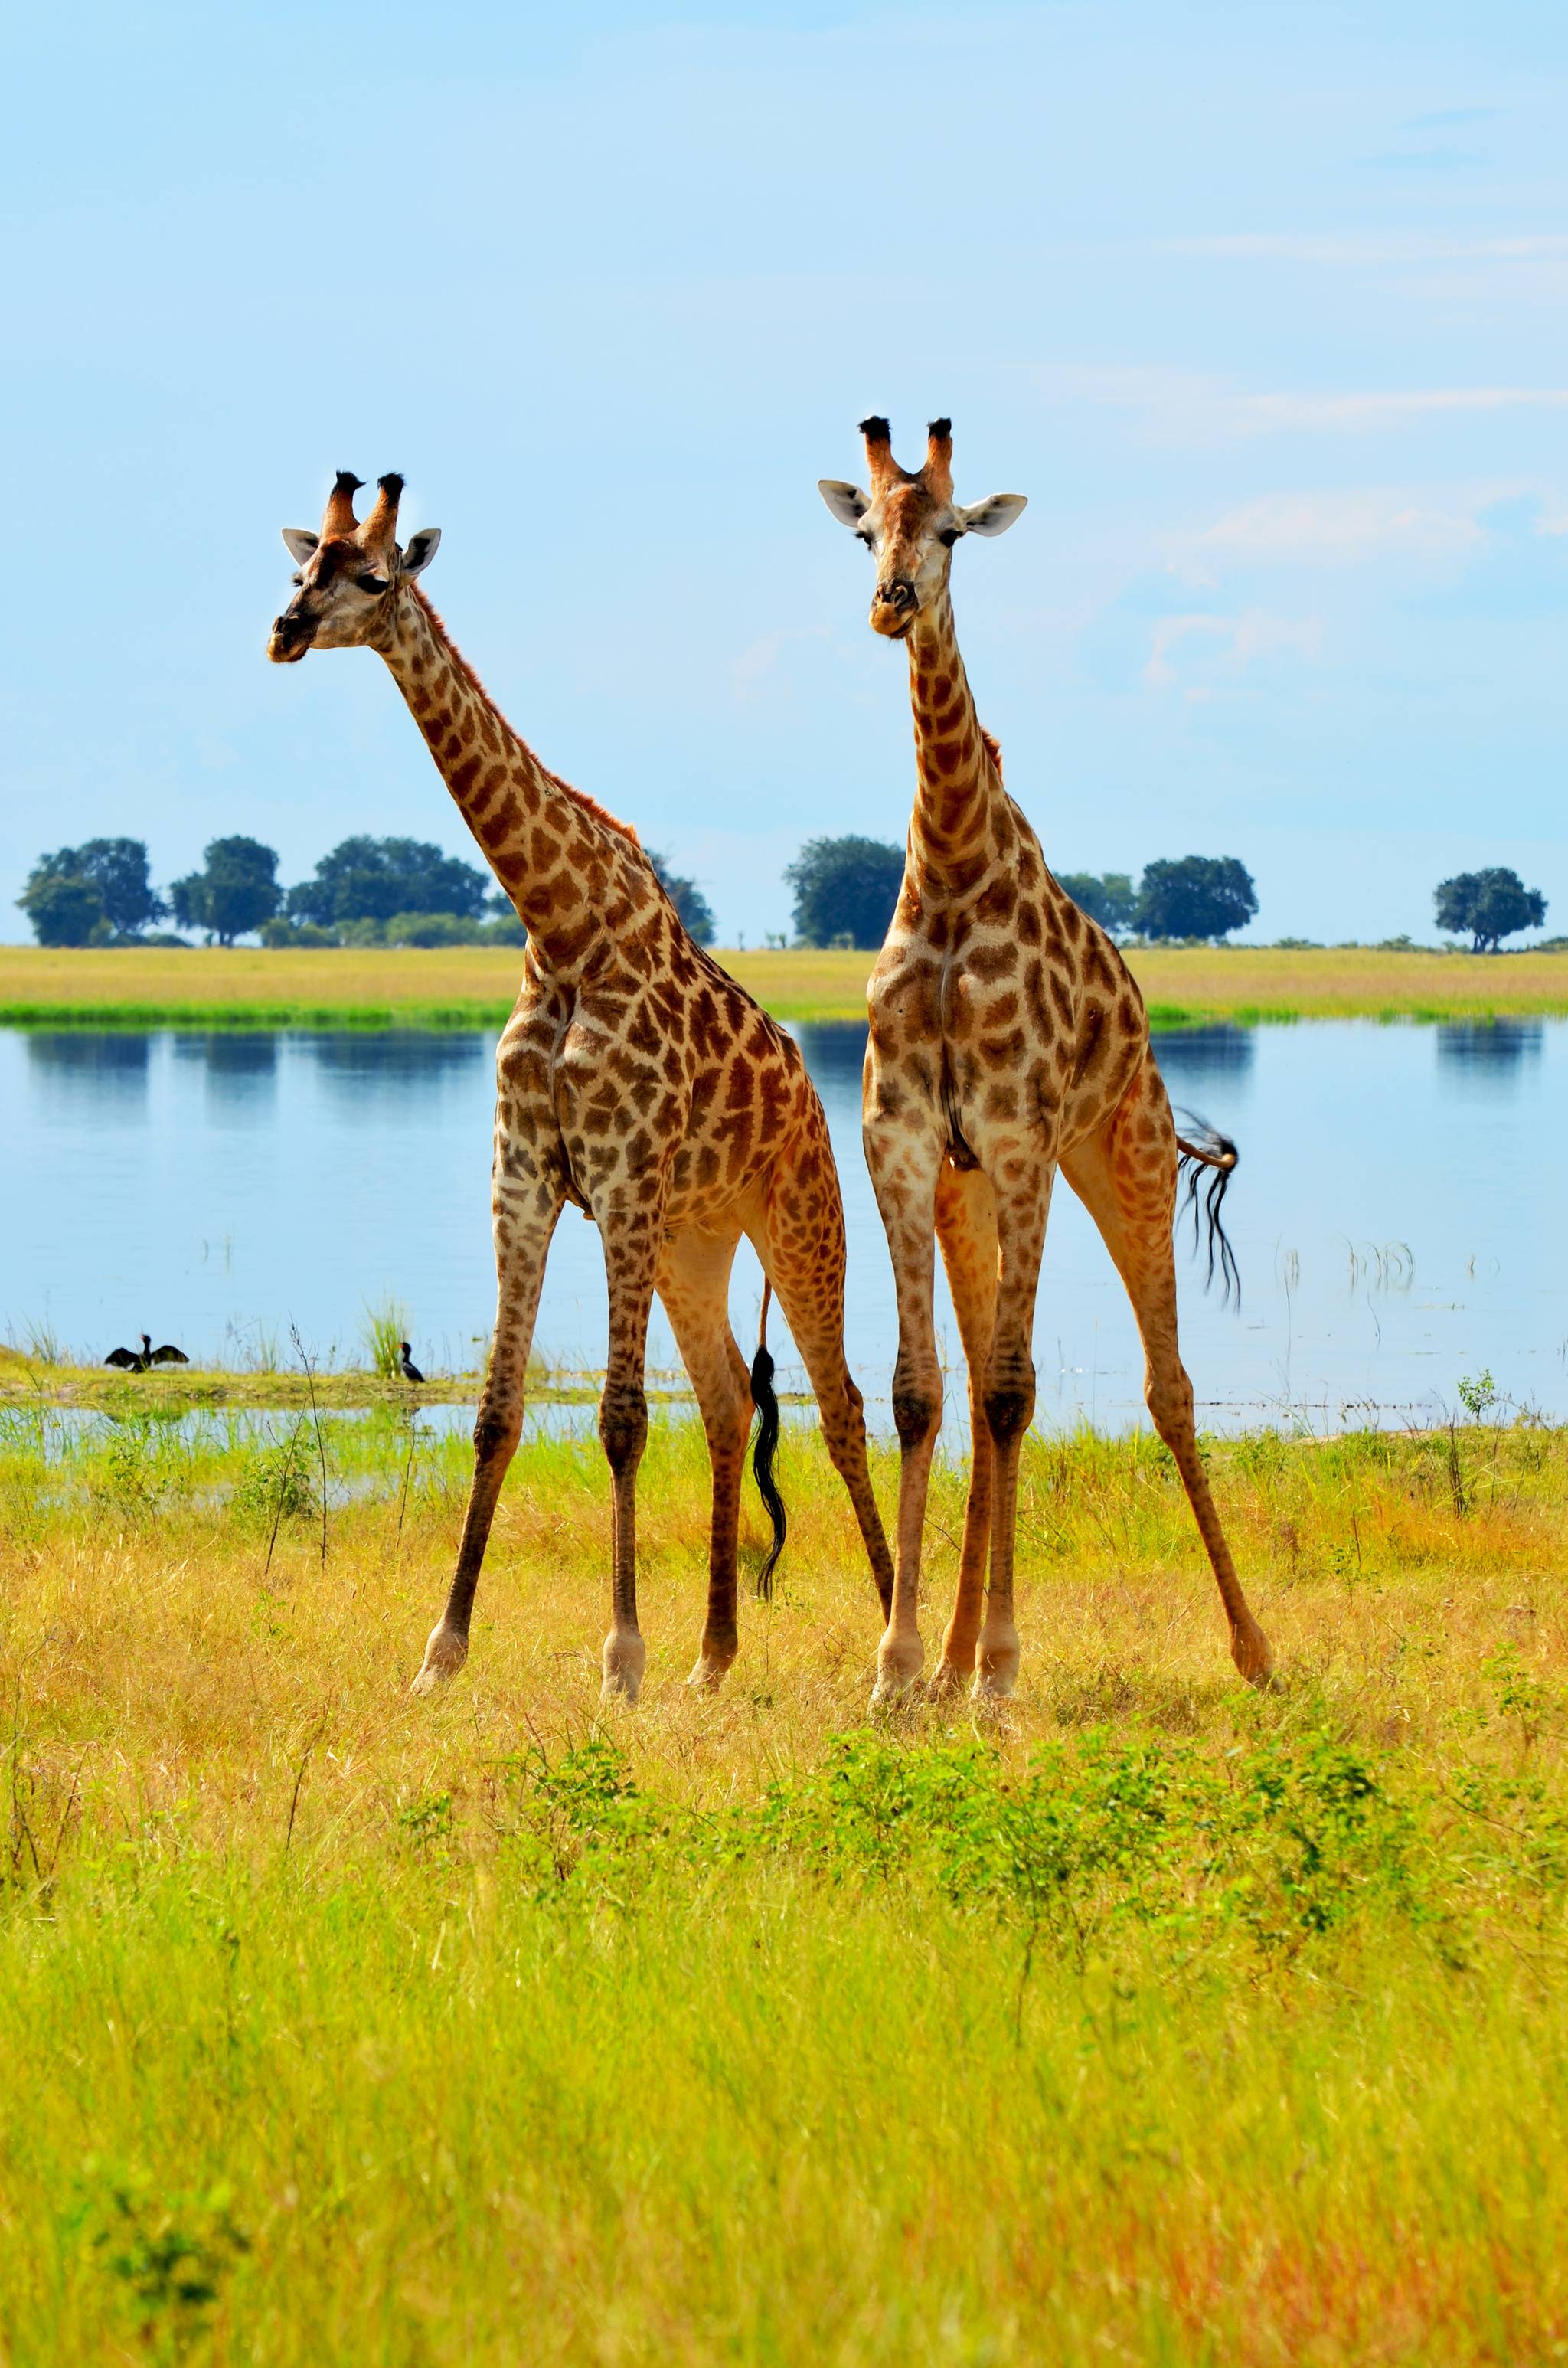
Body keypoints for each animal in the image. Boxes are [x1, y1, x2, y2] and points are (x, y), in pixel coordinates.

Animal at [263, 471, 890, 1695]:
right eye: (301, 566)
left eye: (376, 579)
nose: (286, 631)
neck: (560, 929)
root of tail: (811, 1098)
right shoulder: (523, 1180)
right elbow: (496, 1415)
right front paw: (441, 1655)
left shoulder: (622, 1179)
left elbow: (618, 1419)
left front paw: (620, 1660)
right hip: (698, 1242)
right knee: (730, 1404)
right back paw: (715, 1660)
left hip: (800, 1217)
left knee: (840, 1406)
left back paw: (909, 1640)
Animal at [824, 417, 1279, 1695]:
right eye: (867, 532)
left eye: (951, 531)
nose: (889, 604)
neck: (949, 863)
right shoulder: (905, 1144)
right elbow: (923, 1393)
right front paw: (900, 1669)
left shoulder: (1022, 1137)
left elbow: (1021, 1396)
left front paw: (1000, 1670)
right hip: (972, 1192)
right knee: (982, 1386)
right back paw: (944, 1665)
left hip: (1121, 1156)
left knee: (1167, 1390)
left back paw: (1255, 1650)